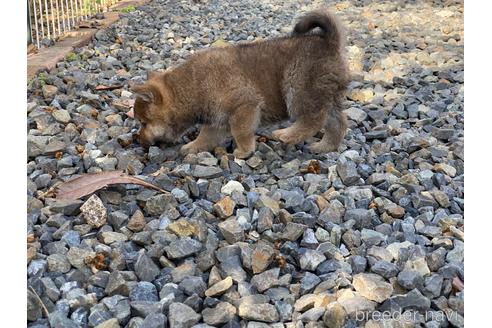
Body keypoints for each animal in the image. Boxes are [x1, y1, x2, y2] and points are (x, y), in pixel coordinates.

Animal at [131, 9, 350, 158]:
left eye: (143, 123)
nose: (138, 140)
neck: (192, 86)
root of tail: (329, 42)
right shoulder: (216, 120)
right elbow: (205, 137)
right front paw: (193, 147)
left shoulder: (245, 107)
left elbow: (240, 131)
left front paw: (244, 151)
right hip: (325, 96)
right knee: (337, 123)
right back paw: (325, 146)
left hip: (299, 90)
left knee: (313, 120)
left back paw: (287, 135)